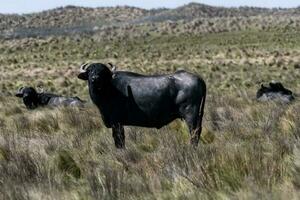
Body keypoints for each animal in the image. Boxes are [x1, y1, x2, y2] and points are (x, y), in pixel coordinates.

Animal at [77, 62, 206, 148]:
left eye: (102, 71)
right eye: (90, 71)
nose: (95, 79)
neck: (109, 89)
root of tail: (198, 78)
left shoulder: (117, 123)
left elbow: (119, 141)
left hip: (190, 115)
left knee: (194, 133)